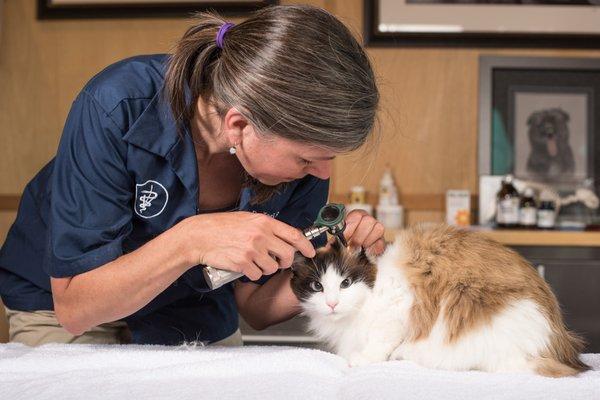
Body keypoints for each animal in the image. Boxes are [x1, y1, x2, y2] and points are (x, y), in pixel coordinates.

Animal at [290, 223, 592, 376]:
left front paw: (361, 360)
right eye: (317, 286)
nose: (332, 304)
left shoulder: (396, 311)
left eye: (346, 283)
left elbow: (379, 344)